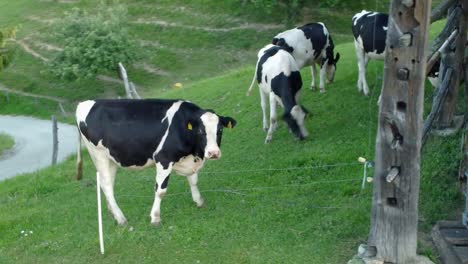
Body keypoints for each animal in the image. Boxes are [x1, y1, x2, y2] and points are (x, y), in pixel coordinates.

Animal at [77, 98, 238, 226]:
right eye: (200, 131)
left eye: (220, 129)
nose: (213, 153)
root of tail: (84, 103)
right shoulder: (163, 158)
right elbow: (160, 191)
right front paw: (155, 218)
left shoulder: (190, 162)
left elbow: (193, 181)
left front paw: (199, 201)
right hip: (99, 155)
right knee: (107, 186)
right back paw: (121, 219)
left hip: (110, 159)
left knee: (106, 184)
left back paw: (113, 213)